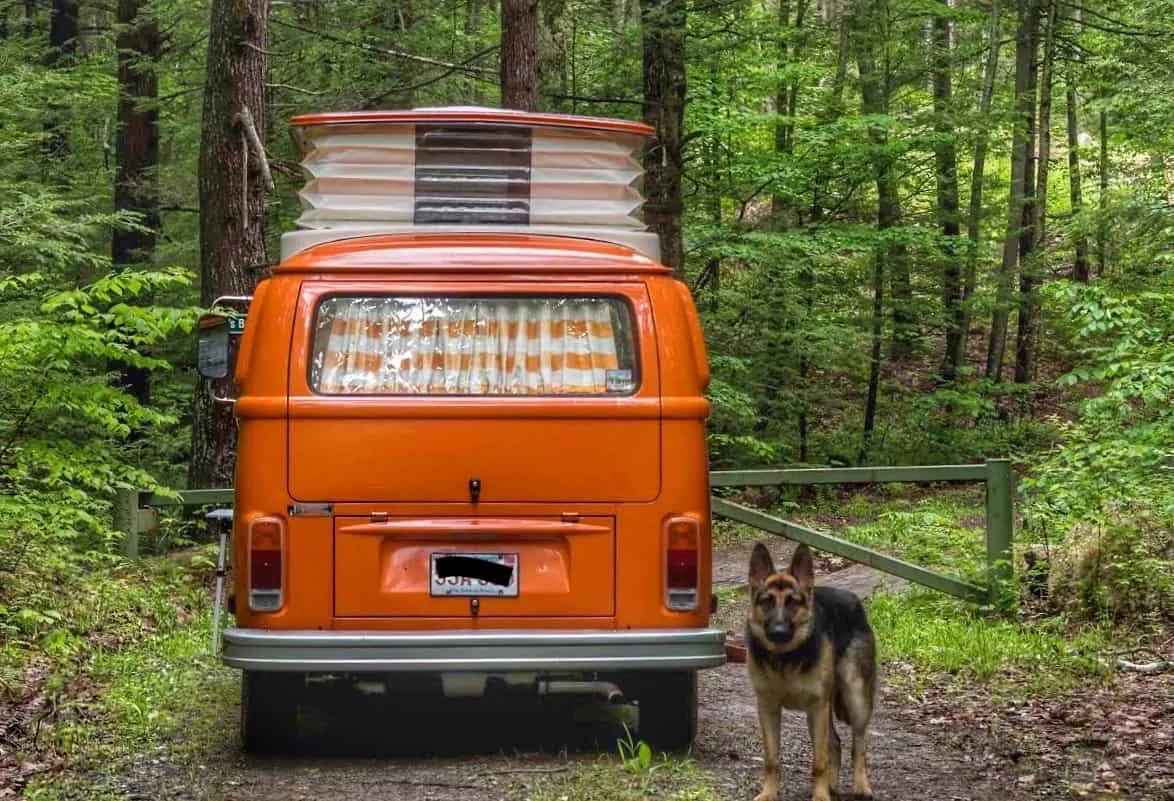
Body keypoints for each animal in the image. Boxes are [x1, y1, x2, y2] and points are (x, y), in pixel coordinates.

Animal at [746, 540, 878, 798]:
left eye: (793, 602)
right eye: (767, 601)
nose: (778, 631)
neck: (785, 658)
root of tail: (854, 600)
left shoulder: (818, 708)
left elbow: (819, 761)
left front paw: (820, 796)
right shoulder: (767, 707)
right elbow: (772, 759)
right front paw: (769, 793)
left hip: (855, 700)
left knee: (858, 745)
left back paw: (860, 786)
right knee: (835, 743)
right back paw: (832, 785)